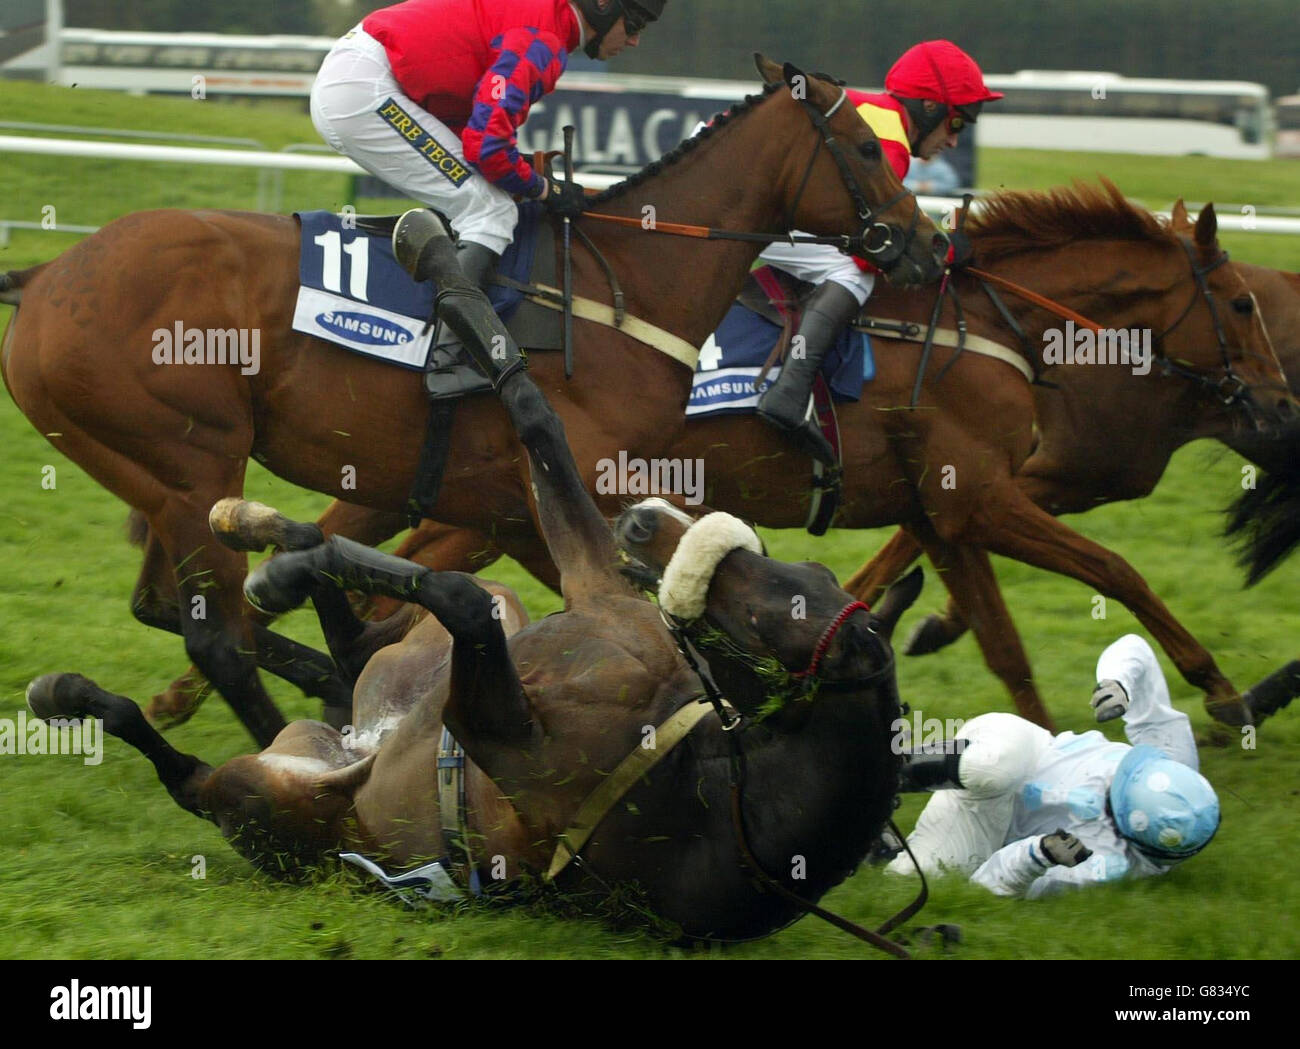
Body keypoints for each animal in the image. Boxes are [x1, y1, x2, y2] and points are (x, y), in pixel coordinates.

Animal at [0, 57, 946, 748]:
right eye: (869, 148)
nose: (927, 245)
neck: (625, 286)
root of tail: (47, 275)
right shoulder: (576, 486)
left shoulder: (511, 511)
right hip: (189, 468)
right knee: (217, 635)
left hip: (166, 480)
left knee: (173, 607)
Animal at [30, 226, 925, 946]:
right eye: (795, 574)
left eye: (781, 608)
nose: (647, 519)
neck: (702, 782)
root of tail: (347, 743)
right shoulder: (594, 586)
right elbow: (535, 417)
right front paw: (442, 270)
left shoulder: (500, 718)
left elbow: (460, 589)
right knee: (353, 629)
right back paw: (268, 539)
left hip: (263, 794)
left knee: (188, 766)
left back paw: (75, 688)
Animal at [271, 181, 1289, 727]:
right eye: (1244, 304)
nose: (1281, 407)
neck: (988, 327)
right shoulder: (982, 497)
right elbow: (1117, 569)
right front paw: (1222, 690)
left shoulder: (942, 510)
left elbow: (1001, 637)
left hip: (473, 501)